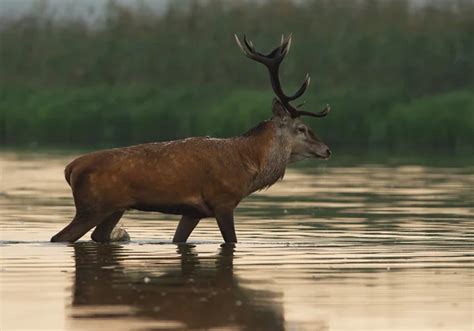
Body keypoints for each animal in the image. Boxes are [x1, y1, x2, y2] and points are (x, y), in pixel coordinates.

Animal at [51, 35, 330, 245]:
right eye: (302, 128)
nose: (327, 149)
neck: (249, 167)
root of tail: (70, 168)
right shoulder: (223, 201)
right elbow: (232, 240)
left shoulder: (193, 211)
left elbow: (179, 239)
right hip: (92, 206)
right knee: (59, 237)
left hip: (114, 208)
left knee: (98, 236)